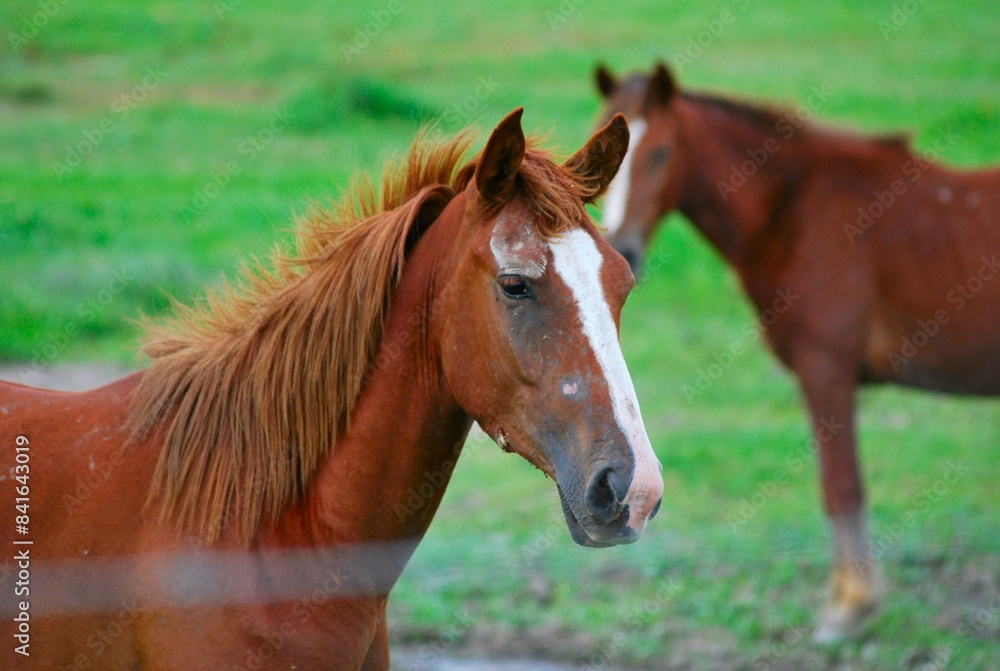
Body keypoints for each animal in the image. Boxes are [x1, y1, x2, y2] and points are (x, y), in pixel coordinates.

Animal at [593, 62, 1000, 641]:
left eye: (662, 152)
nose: (623, 249)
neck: (792, 209)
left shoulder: (826, 370)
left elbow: (842, 487)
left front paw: (851, 605)